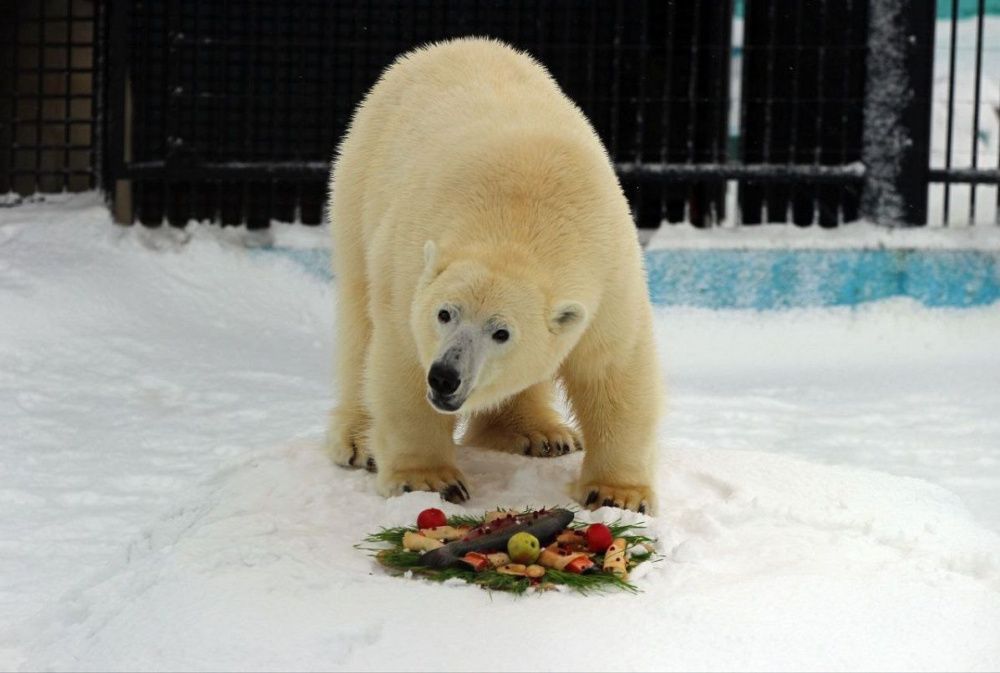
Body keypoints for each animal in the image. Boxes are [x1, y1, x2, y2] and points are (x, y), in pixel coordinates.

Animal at [324, 38, 660, 510]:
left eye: (502, 332)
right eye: (445, 314)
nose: (445, 376)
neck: (522, 217)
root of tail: (446, 46)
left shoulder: (609, 273)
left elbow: (613, 367)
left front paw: (618, 494)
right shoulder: (410, 271)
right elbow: (402, 363)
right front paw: (427, 480)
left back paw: (539, 433)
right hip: (359, 186)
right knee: (360, 322)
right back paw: (359, 441)